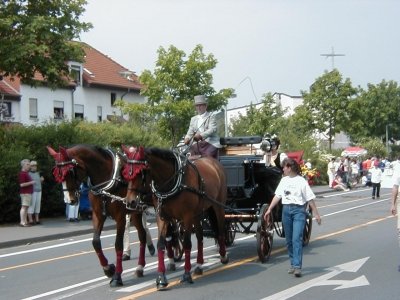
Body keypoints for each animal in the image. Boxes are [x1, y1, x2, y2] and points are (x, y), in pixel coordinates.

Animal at [45, 145, 152, 286]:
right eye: (56, 173)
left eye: (70, 172)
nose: (69, 200)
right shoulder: (98, 215)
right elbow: (95, 242)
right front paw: (108, 269)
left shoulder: (120, 217)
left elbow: (118, 245)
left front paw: (117, 276)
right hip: (134, 211)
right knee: (142, 234)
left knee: (143, 235)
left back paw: (142, 265)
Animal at [121, 146, 228, 290]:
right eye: (126, 172)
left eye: (141, 172)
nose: (130, 202)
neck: (171, 182)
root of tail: (215, 163)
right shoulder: (162, 217)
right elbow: (161, 244)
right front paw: (161, 278)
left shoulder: (187, 216)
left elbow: (187, 243)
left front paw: (186, 274)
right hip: (198, 213)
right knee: (200, 236)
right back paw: (199, 265)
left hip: (217, 207)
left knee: (220, 230)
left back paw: (223, 256)